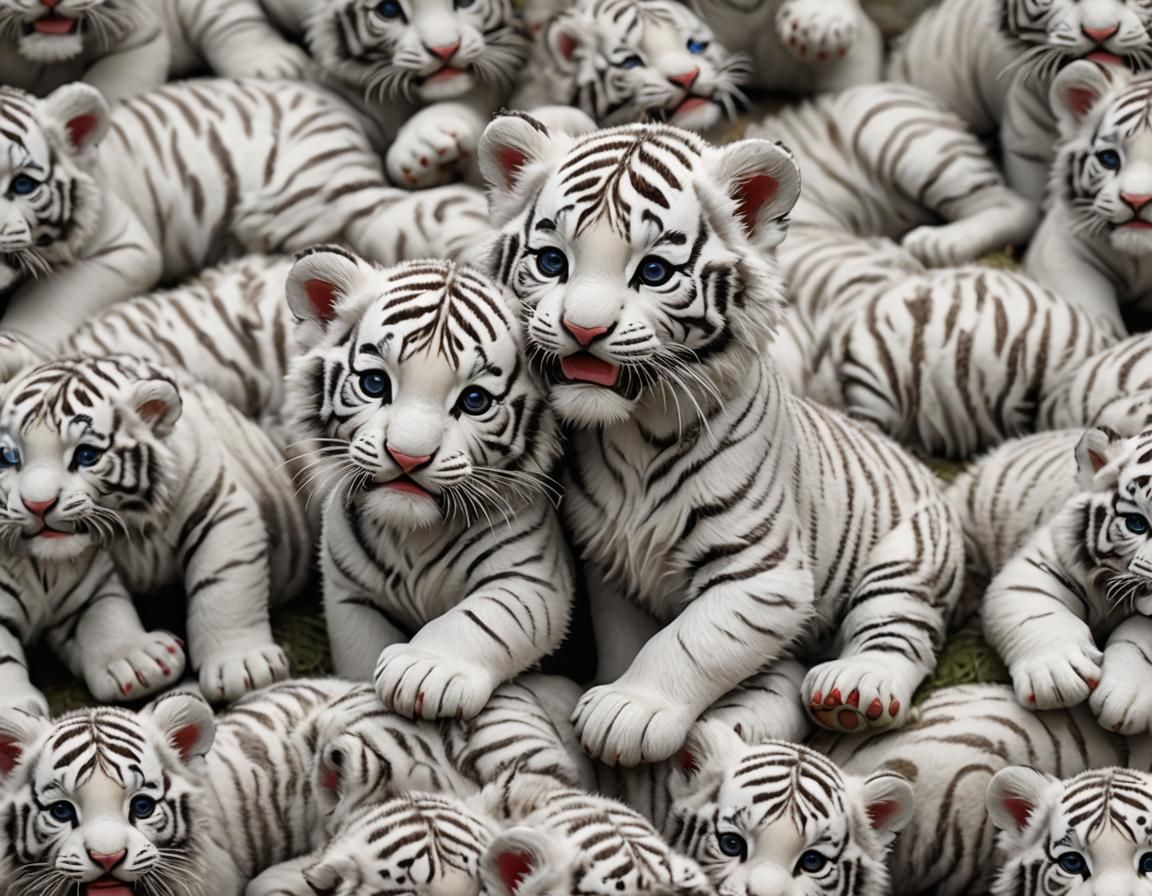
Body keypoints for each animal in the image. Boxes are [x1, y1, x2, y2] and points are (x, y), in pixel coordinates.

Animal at [0, 78, 491, 355]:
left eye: (22, 184)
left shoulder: (126, 245)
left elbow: (48, 303)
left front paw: (12, 351)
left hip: (327, 193)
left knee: (435, 210)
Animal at [0, 354, 311, 701]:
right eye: (9, 456)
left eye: (87, 455)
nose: (38, 505)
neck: (128, 524)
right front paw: (133, 662)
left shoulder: (217, 508)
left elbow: (226, 583)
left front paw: (242, 665)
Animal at [284, 248, 576, 723]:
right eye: (375, 384)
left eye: (474, 401)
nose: (408, 456)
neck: (411, 536)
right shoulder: (351, 595)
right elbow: (361, 650)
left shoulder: (531, 574)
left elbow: (484, 617)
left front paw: (423, 671)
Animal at [477, 113, 965, 765]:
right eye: (553, 262)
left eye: (653, 272)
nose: (583, 329)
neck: (634, 434)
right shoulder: (611, 564)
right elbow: (630, 639)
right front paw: (613, 686)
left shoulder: (761, 575)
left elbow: (689, 642)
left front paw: (629, 709)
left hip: (910, 557)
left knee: (900, 629)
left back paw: (855, 690)